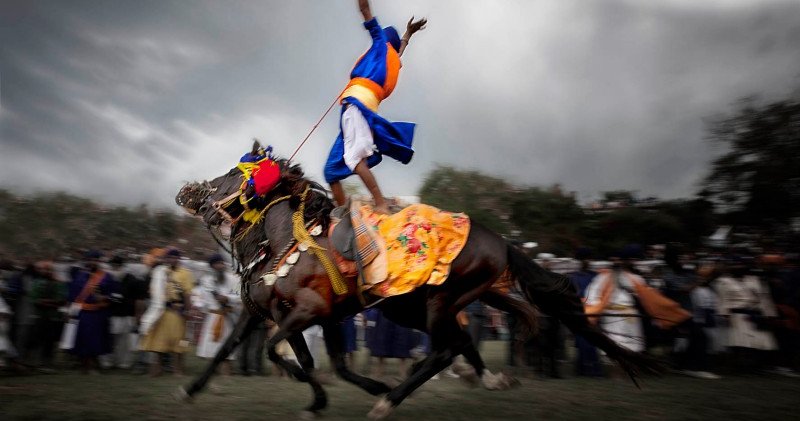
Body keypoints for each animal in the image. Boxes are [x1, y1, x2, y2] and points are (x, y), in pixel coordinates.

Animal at [175, 147, 656, 416]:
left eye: (232, 174)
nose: (188, 192)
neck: (282, 243)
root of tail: (499, 240)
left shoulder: (309, 312)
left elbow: (285, 354)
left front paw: (328, 395)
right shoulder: (274, 313)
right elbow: (234, 349)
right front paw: (192, 389)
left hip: (436, 302)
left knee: (445, 349)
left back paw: (390, 401)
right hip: (421, 305)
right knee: (465, 340)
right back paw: (486, 379)